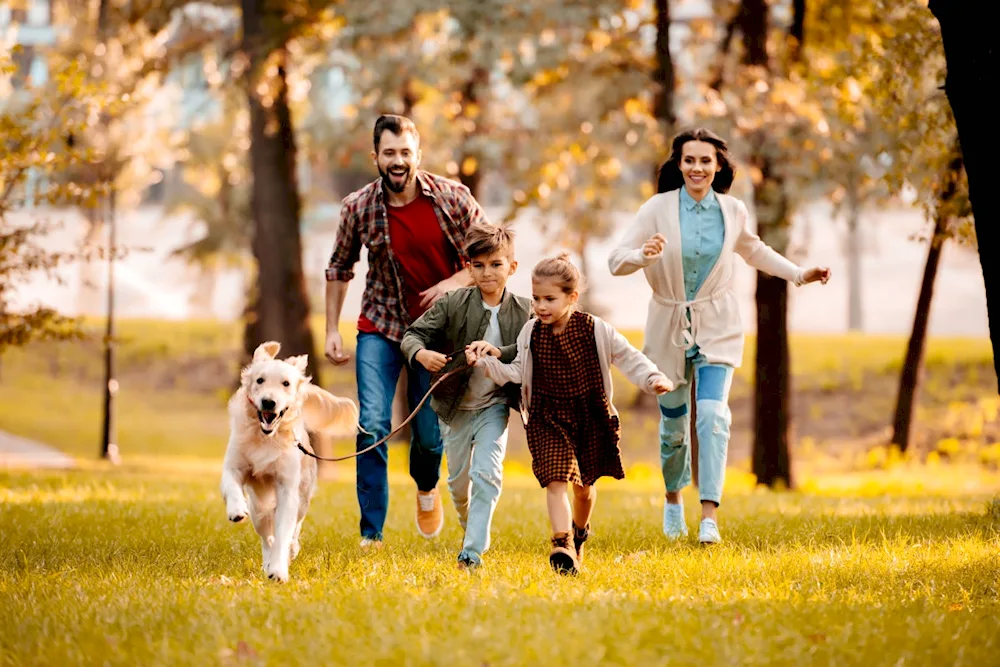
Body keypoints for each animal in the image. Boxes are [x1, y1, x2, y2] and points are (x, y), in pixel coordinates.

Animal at [221, 342, 362, 580]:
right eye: (260, 380)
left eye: (286, 383)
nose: (269, 402)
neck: (267, 437)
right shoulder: (234, 465)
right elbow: (232, 484)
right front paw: (236, 509)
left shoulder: (287, 489)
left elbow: (284, 533)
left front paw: (279, 569)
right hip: (258, 508)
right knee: (266, 537)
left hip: (303, 498)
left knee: (294, 527)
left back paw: (290, 551)